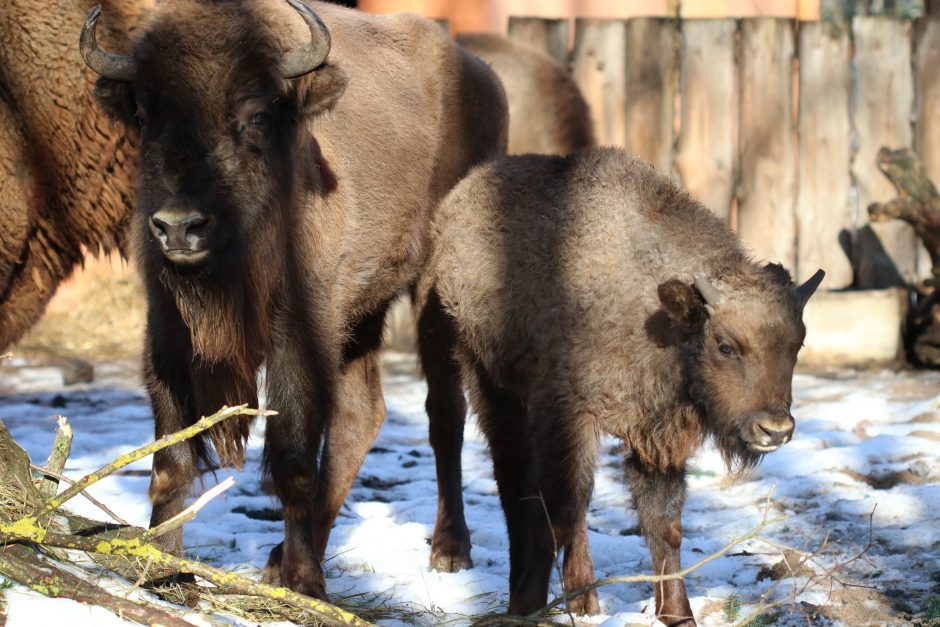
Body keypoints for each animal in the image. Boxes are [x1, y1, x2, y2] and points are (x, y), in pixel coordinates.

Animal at [81, 0, 506, 600]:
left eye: (256, 116)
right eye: (143, 117)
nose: (179, 227)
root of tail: (481, 73)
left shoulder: (301, 331)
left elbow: (293, 456)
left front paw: (306, 584)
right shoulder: (167, 330)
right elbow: (172, 457)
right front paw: (160, 565)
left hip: (432, 289)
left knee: (443, 410)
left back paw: (448, 549)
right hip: (362, 312)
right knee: (361, 415)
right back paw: (280, 558)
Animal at [422, 146, 828, 624]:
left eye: (797, 343)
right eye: (726, 345)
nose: (775, 430)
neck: (660, 315)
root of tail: (458, 201)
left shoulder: (656, 439)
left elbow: (663, 524)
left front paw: (678, 613)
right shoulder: (567, 416)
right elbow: (561, 511)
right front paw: (548, 603)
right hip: (480, 376)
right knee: (507, 475)